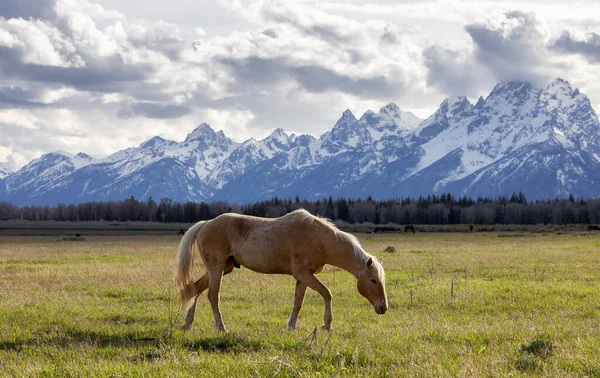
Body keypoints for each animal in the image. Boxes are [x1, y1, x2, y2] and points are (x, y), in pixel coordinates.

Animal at [173, 208, 390, 332]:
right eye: (373, 280)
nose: (383, 308)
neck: (320, 239)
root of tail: (205, 224)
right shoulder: (304, 274)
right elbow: (327, 294)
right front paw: (326, 325)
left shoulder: (304, 277)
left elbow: (298, 302)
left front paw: (291, 327)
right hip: (217, 268)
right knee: (212, 295)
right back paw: (221, 328)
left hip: (223, 268)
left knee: (196, 289)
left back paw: (187, 324)